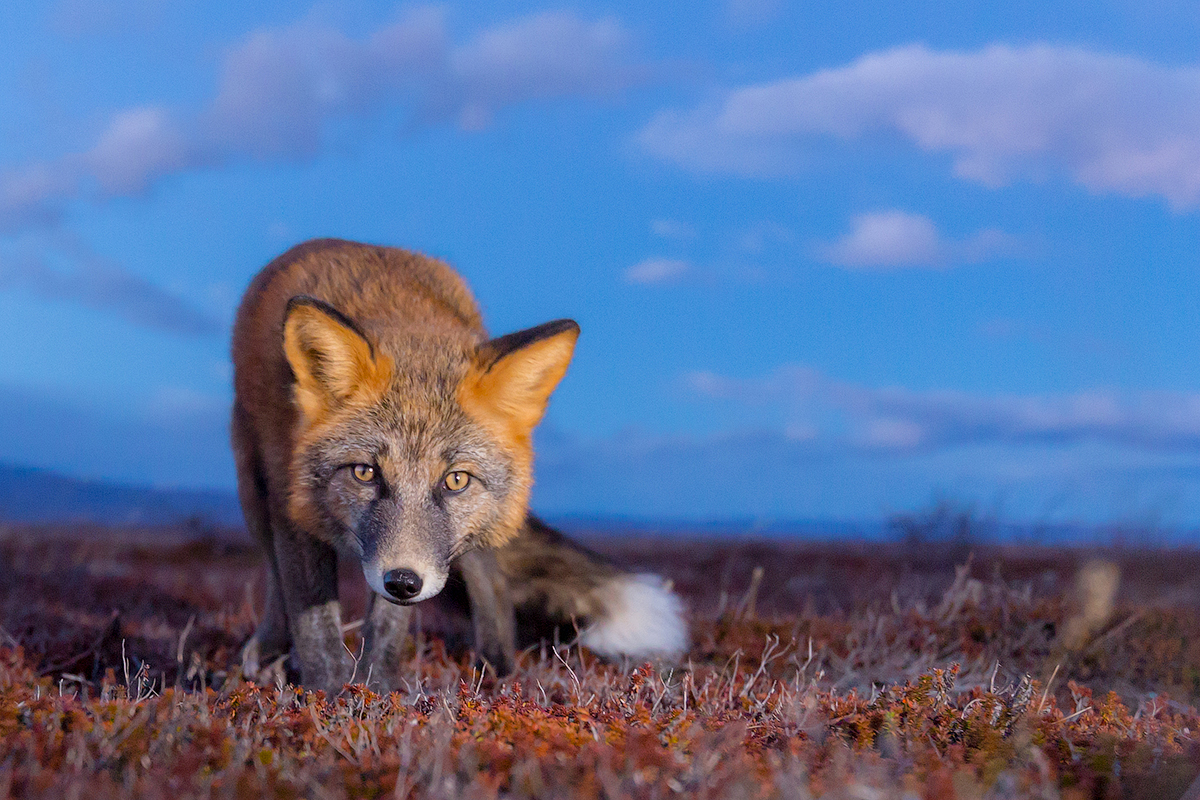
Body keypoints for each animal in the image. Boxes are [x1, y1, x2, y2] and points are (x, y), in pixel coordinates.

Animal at [230, 239, 691, 695]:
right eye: (365, 473)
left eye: (455, 480)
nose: (403, 581)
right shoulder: (293, 503)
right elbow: (314, 622)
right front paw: (327, 695)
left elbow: (388, 626)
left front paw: (375, 692)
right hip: (252, 487)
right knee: (275, 579)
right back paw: (269, 652)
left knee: (491, 577)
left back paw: (497, 673)